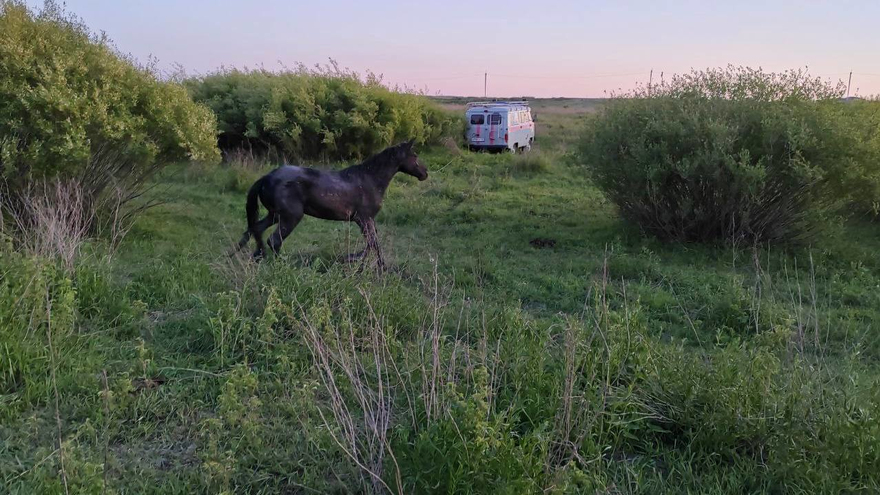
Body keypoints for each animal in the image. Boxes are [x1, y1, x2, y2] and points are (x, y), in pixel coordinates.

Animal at [236, 139, 428, 270]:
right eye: (414, 156)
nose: (425, 173)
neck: (370, 179)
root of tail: (266, 177)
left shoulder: (367, 220)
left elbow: (373, 242)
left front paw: (359, 260)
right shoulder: (363, 218)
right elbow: (373, 242)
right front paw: (366, 263)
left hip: (275, 215)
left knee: (256, 229)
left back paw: (258, 256)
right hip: (290, 217)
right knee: (274, 240)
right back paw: (279, 265)